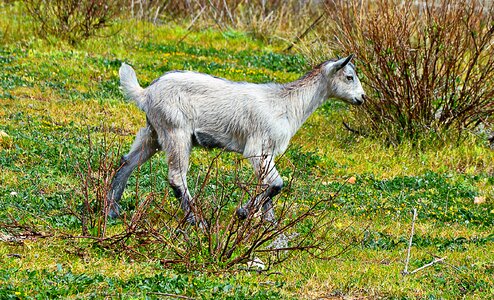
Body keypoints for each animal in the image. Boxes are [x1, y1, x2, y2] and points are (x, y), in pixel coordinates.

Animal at [108, 54, 366, 223]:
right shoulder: (256, 147)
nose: (362, 98)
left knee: (126, 163)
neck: (286, 104)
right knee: (176, 176)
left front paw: (268, 223)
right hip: (175, 131)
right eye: (349, 76)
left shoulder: (267, 152)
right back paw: (195, 220)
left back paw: (112, 211)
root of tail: (145, 93)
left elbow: (267, 185)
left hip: (152, 131)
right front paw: (244, 213)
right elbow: (276, 183)